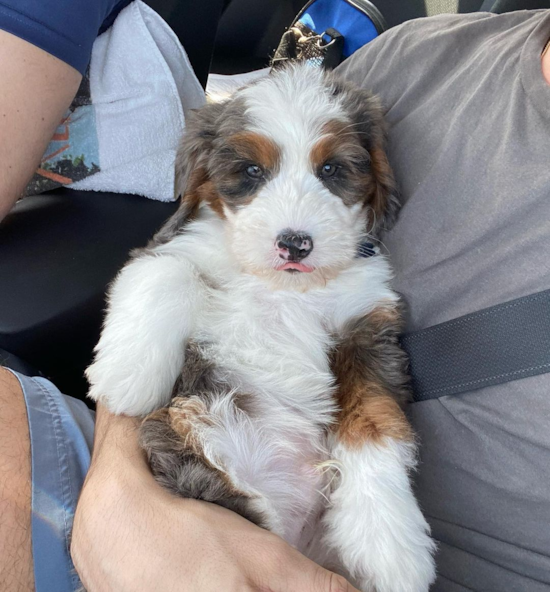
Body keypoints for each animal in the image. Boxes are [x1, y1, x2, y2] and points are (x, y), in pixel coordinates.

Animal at [87, 63, 436, 592]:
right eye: (252, 171)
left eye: (331, 169)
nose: (294, 243)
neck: (285, 287)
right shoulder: (174, 243)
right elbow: (167, 269)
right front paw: (127, 376)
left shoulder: (367, 327)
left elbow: (374, 423)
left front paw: (388, 540)